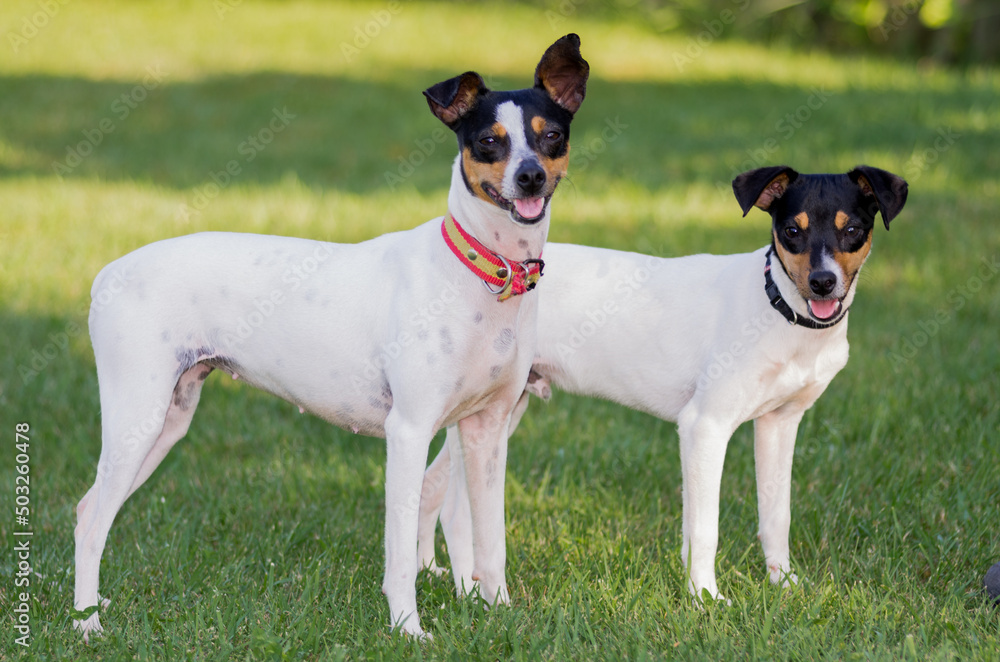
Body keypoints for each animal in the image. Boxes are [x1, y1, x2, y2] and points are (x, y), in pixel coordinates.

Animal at [74, 33, 588, 640]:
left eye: (550, 136)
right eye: (489, 141)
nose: (530, 177)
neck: (480, 274)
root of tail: (107, 273)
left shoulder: (487, 432)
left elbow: (492, 542)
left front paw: (499, 610)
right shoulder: (408, 432)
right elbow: (401, 554)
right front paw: (407, 628)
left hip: (165, 423)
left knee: (88, 509)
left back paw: (93, 606)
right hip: (138, 418)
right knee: (92, 520)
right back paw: (86, 624)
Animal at [414, 166, 908, 608]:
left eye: (854, 230)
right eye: (791, 230)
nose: (823, 283)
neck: (779, 309)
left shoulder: (779, 423)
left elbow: (776, 516)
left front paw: (782, 583)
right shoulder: (704, 426)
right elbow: (704, 528)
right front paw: (706, 598)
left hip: (499, 411)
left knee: (431, 485)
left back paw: (429, 570)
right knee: (456, 510)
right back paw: (471, 591)